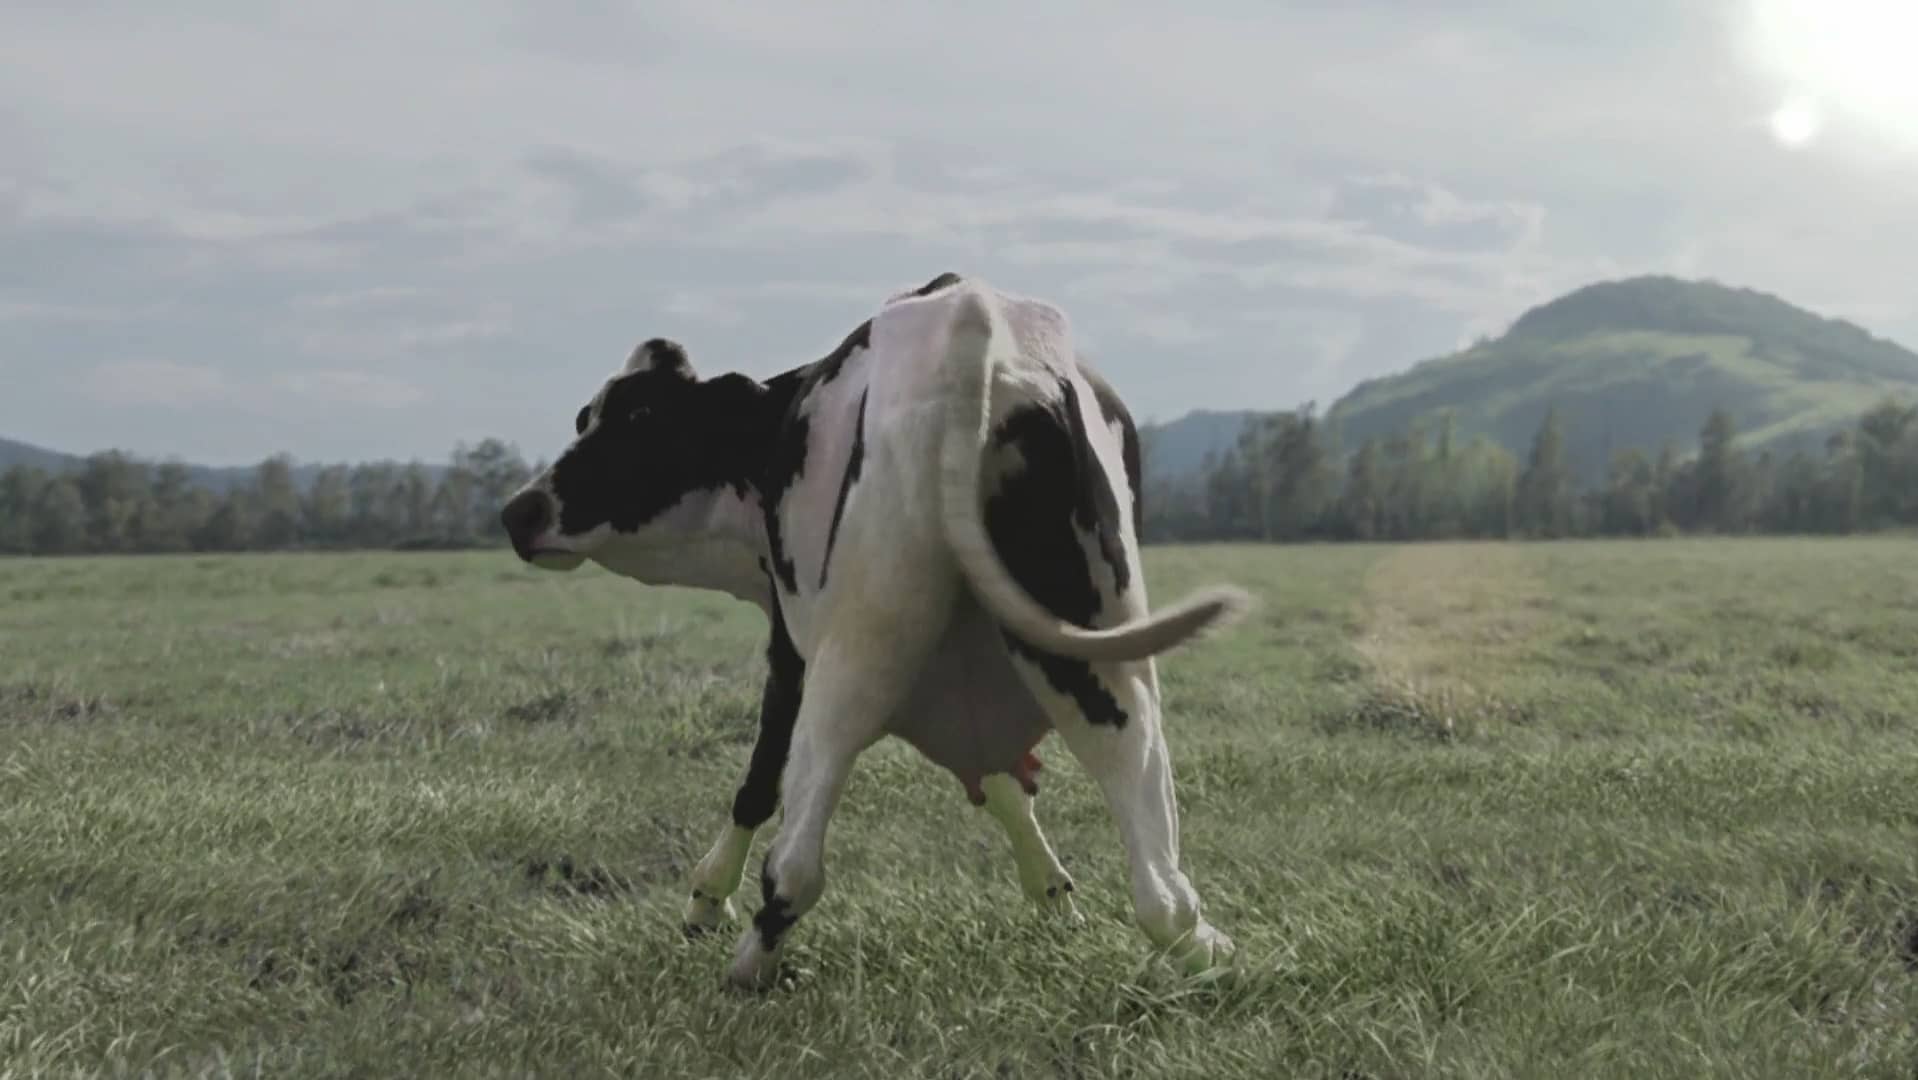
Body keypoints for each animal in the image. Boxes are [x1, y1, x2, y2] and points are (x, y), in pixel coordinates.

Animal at [499, 272, 1251, 991]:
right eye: (585, 416)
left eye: (639, 417)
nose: (518, 511)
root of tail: (972, 322)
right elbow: (1005, 787)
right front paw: (1054, 893)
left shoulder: (789, 651)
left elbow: (757, 783)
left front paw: (706, 900)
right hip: (1105, 661)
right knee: (1161, 885)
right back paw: (1207, 951)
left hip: (855, 654)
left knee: (795, 861)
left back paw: (750, 968)